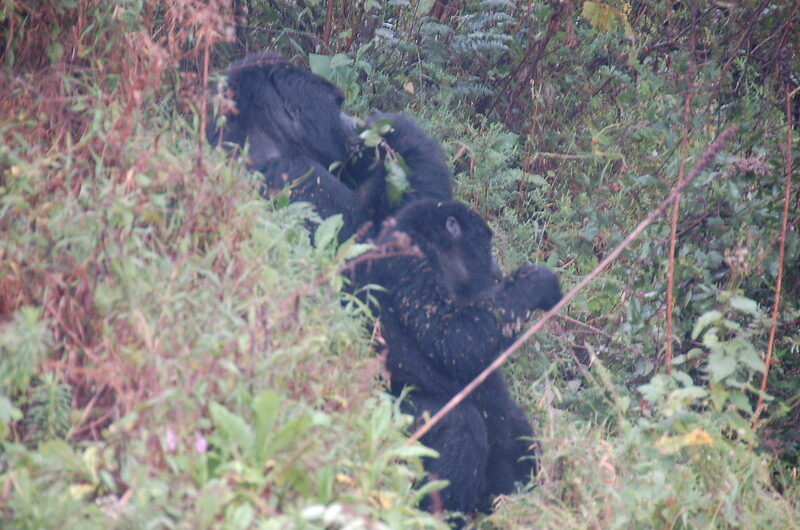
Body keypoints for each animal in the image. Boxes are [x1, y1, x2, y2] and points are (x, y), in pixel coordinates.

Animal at [354, 198, 564, 516]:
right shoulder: (411, 262)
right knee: (462, 424)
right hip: (383, 420)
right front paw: (537, 283)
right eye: (485, 246)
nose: (495, 269)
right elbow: (456, 339)